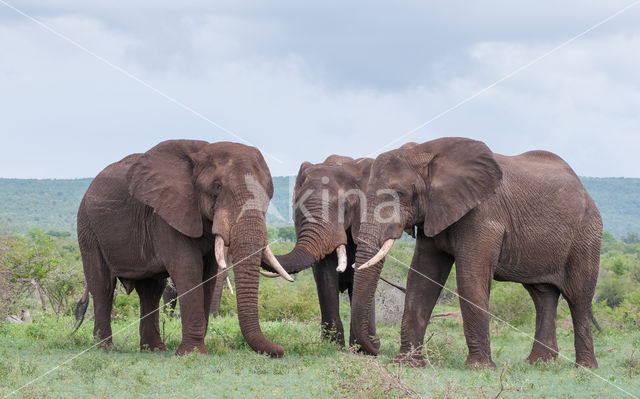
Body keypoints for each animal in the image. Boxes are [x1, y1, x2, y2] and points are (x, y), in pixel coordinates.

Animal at [74, 140, 292, 356]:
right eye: (217, 187)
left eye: (269, 195)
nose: (280, 351)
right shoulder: (165, 214)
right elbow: (187, 269)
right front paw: (193, 353)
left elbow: (208, 275)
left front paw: (196, 350)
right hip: (87, 227)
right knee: (103, 286)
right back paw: (105, 348)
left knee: (151, 290)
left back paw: (154, 349)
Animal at [352, 138, 604, 368]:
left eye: (399, 193)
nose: (375, 347)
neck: (426, 150)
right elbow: (422, 278)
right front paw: (406, 363)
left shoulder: (483, 214)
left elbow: (470, 278)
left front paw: (479, 367)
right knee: (543, 297)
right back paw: (538, 363)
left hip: (587, 234)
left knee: (578, 298)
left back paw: (584, 368)